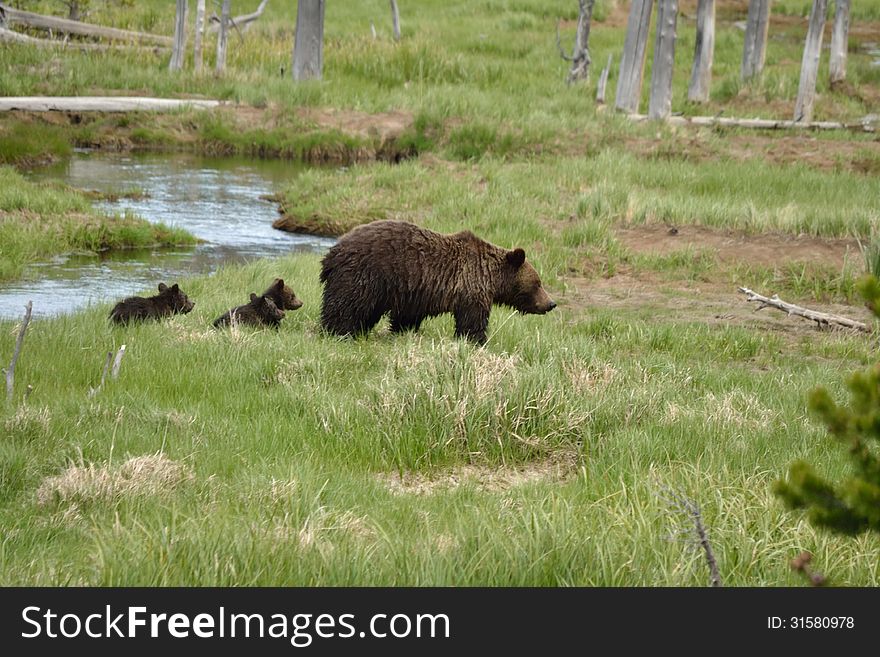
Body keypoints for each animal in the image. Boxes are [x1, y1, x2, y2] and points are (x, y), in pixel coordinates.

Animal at [318, 220, 556, 344]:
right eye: (538, 283)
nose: (551, 303)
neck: (490, 277)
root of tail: (332, 252)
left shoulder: (413, 291)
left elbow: (406, 317)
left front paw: (403, 332)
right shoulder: (471, 289)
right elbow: (472, 320)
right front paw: (476, 341)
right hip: (364, 274)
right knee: (346, 307)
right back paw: (339, 333)